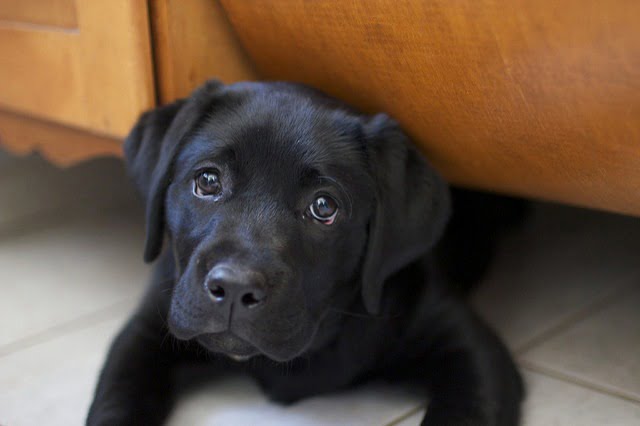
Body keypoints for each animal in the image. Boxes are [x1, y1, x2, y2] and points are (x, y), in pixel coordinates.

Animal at [87, 80, 524, 426]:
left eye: (323, 207)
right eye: (207, 181)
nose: (234, 288)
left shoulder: (471, 352)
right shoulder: (145, 329)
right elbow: (113, 402)